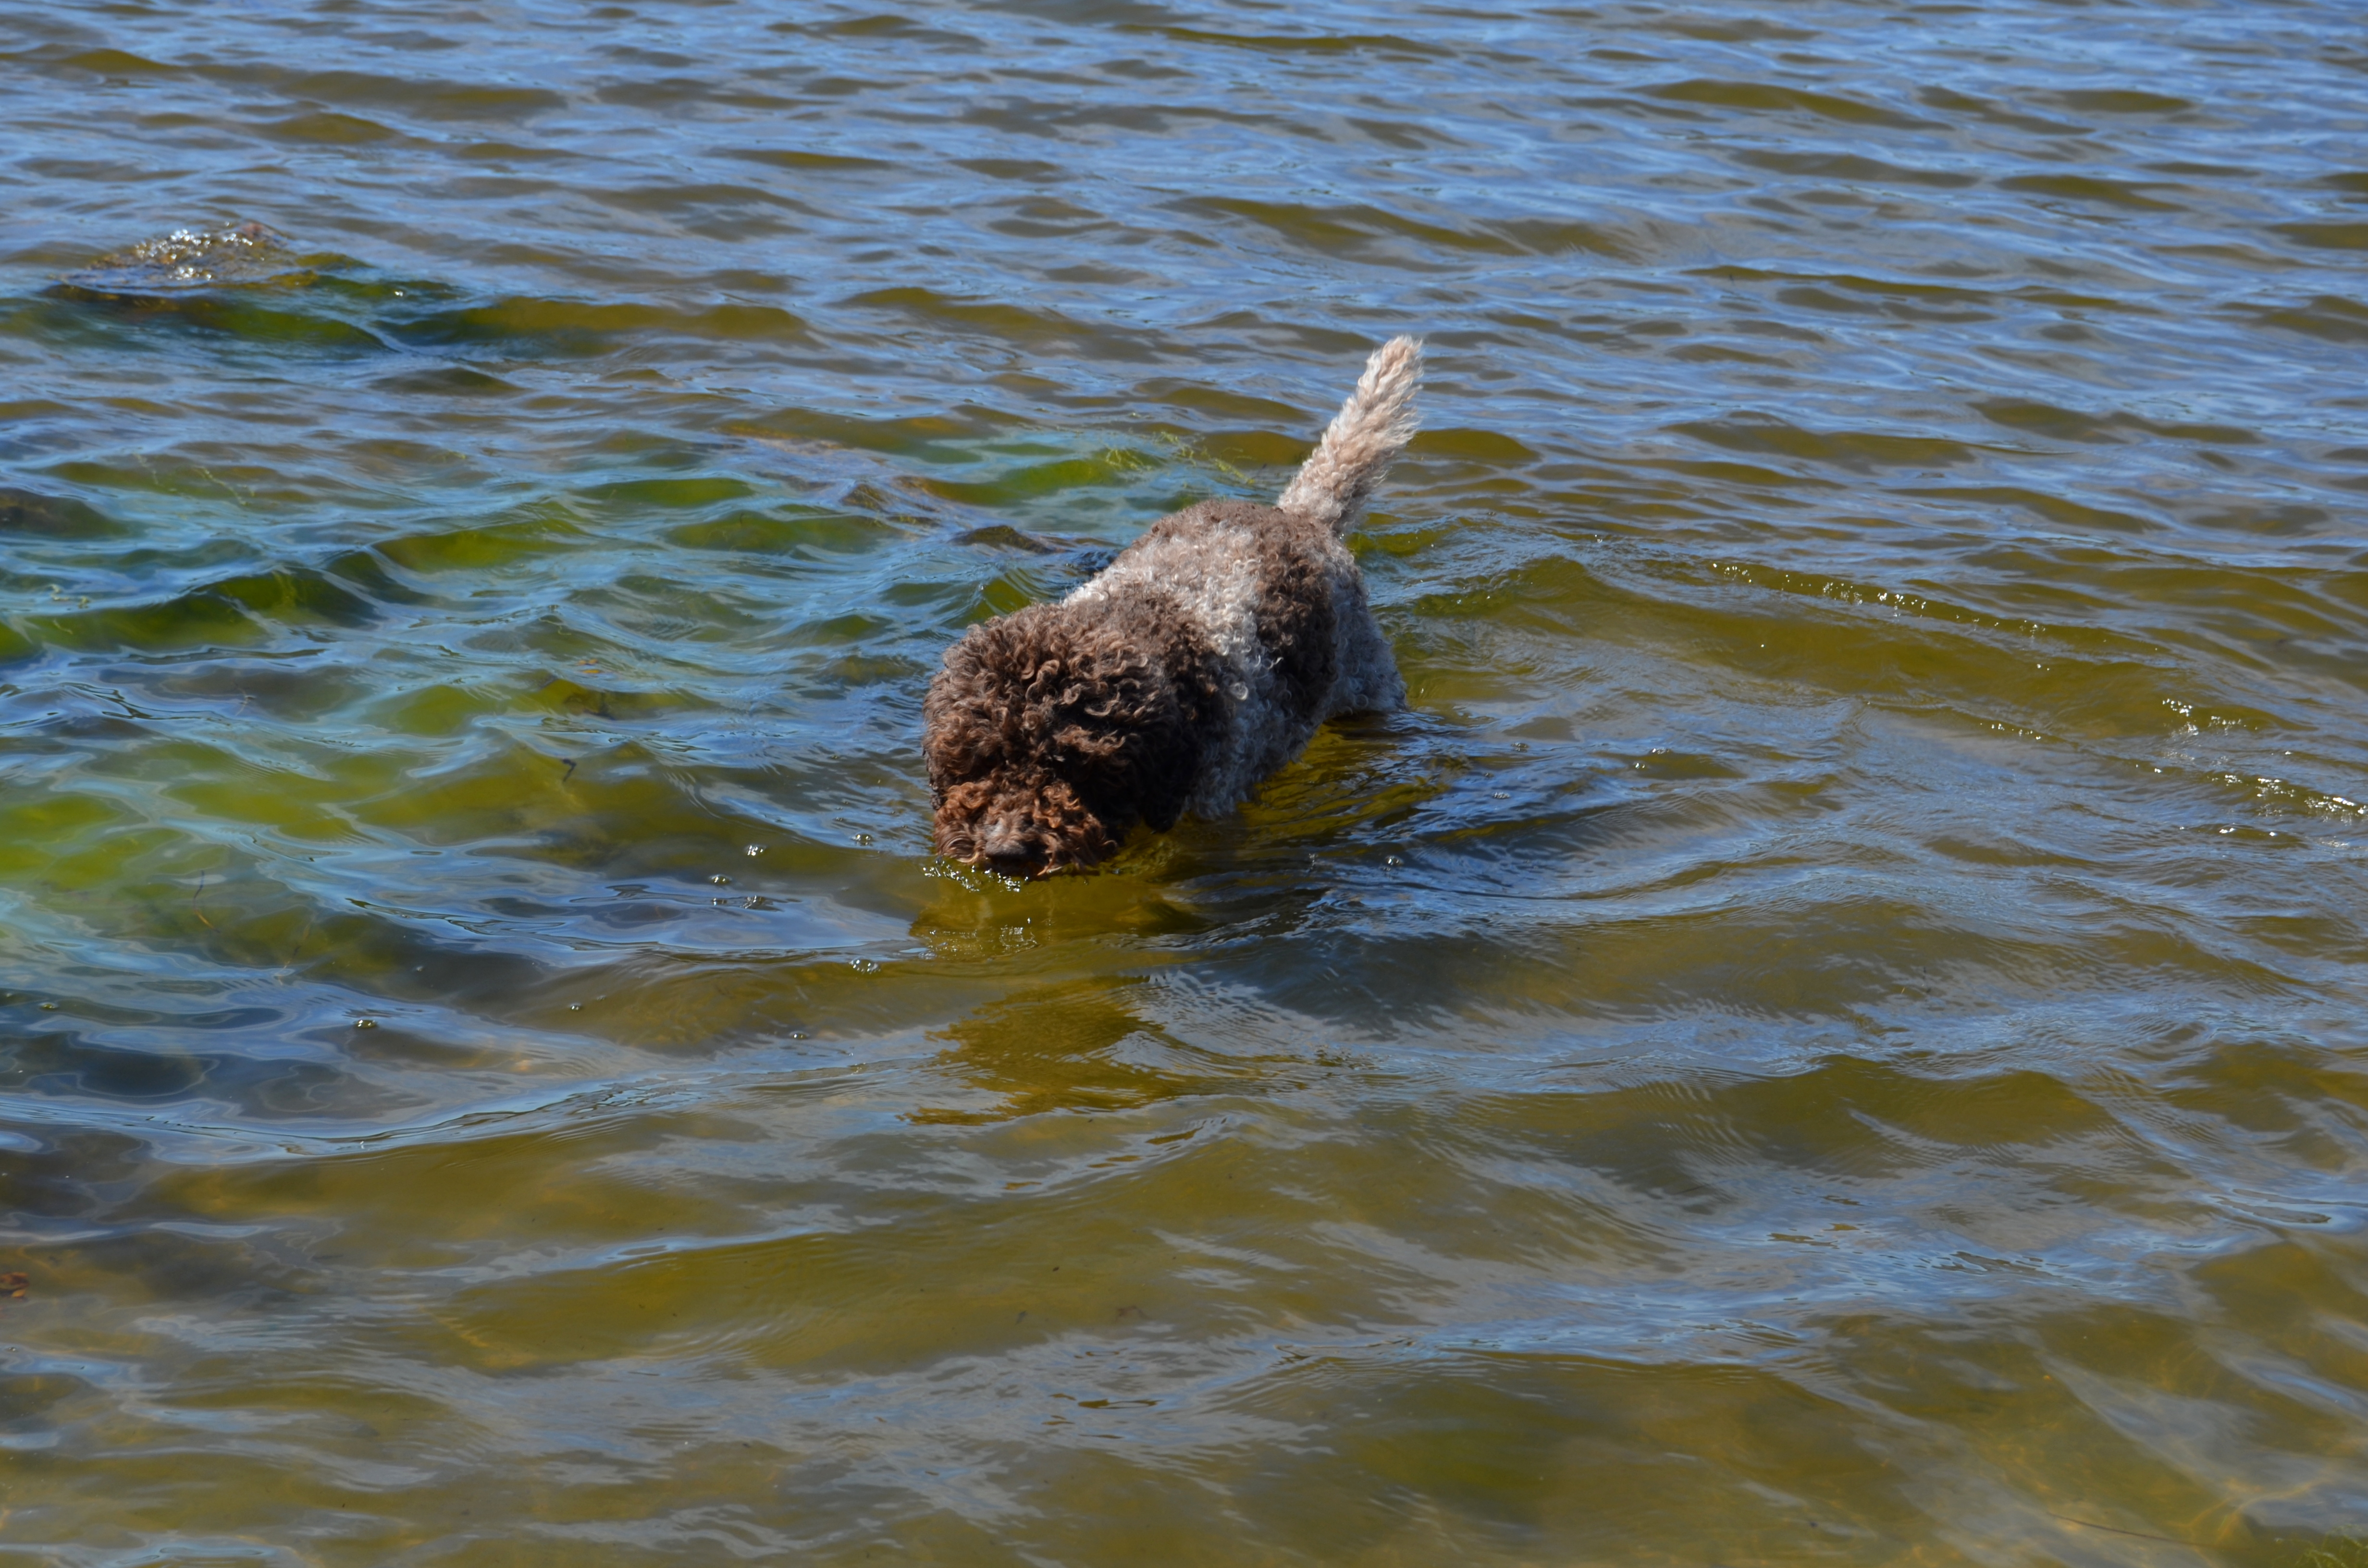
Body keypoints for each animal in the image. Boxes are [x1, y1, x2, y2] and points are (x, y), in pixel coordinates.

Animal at [923, 336, 1422, 877]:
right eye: (981, 759)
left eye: (1072, 765)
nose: (1005, 852)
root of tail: (1300, 516)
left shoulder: (1212, 804)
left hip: (1369, 682)